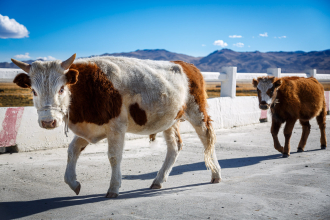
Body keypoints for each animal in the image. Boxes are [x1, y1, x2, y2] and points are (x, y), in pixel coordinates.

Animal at [11, 54, 222, 198]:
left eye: (61, 89)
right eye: (33, 91)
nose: (48, 122)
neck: (86, 88)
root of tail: (186, 64)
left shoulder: (116, 128)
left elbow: (114, 157)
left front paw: (113, 188)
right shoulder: (90, 127)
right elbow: (72, 151)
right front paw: (73, 183)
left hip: (197, 112)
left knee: (207, 139)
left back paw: (216, 174)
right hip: (169, 120)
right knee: (175, 146)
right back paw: (158, 180)